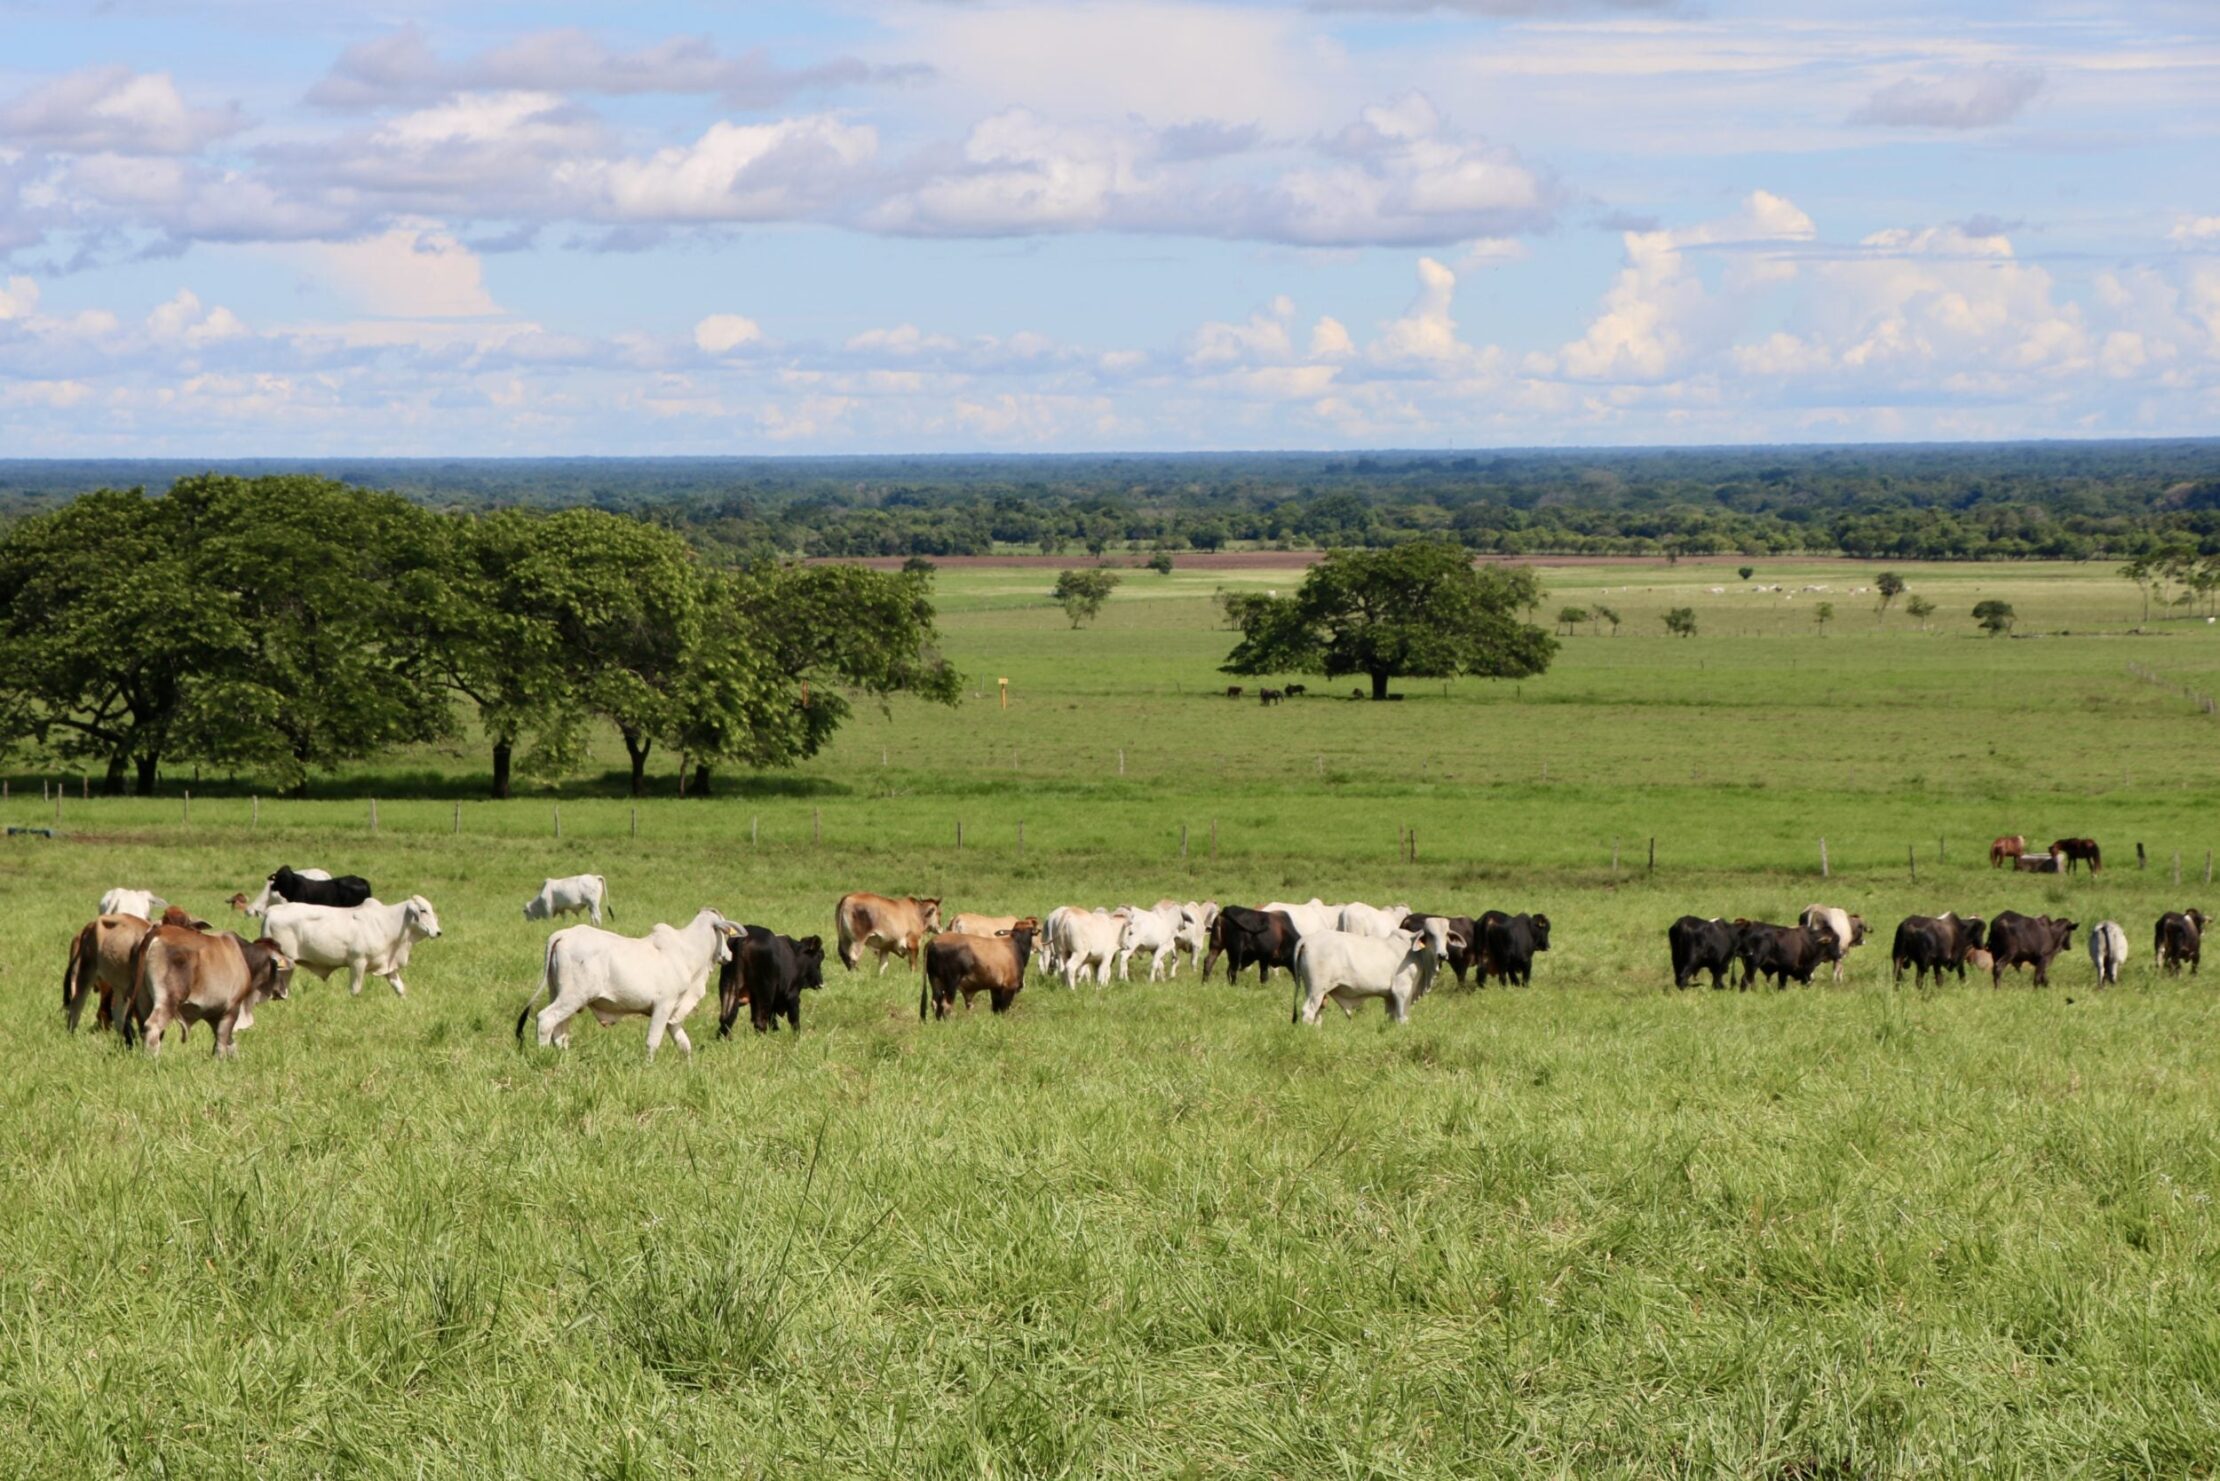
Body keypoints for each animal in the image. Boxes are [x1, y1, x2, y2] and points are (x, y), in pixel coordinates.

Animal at [259, 892, 441, 994]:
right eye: (423, 910)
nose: (438, 932)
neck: (388, 923)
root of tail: (271, 911)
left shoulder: (388, 966)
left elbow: (400, 989)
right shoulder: (357, 963)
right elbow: (355, 991)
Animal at [510, 910, 737, 1061]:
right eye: (726, 934)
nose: (729, 956)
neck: (687, 951)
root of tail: (563, 934)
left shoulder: (674, 1012)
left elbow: (684, 1044)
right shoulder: (663, 1006)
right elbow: (653, 1041)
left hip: (559, 994)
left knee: (561, 1031)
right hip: (573, 996)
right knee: (546, 1019)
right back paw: (543, 1056)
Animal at [1287, 919, 1456, 1025]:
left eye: (1446, 935)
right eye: (1430, 935)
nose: (1442, 955)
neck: (1416, 954)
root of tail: (1307, 940)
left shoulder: (1390, 997)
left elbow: (1392, 1018)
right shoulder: (1402, 991)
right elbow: (1402, 1018)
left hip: (1321, 993)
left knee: (1318, 1014)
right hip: (1316, 990)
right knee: (1308, 1012)